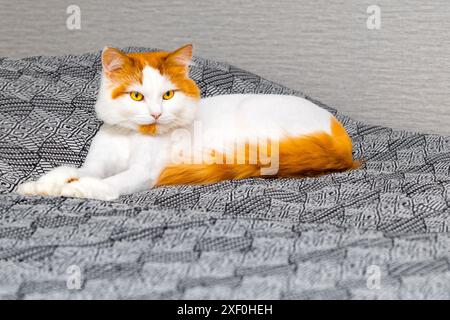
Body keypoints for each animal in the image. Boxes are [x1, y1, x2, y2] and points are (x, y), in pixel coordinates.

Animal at [17, 44, 360, 201]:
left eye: (168, 95)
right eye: (137, 96)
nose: (156, 113)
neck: (133, 137)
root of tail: (341, 141)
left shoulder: (143, 172)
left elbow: (107, 183)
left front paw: (79, 188)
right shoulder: (97, 161)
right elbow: (74, 171)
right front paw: (42, 185)